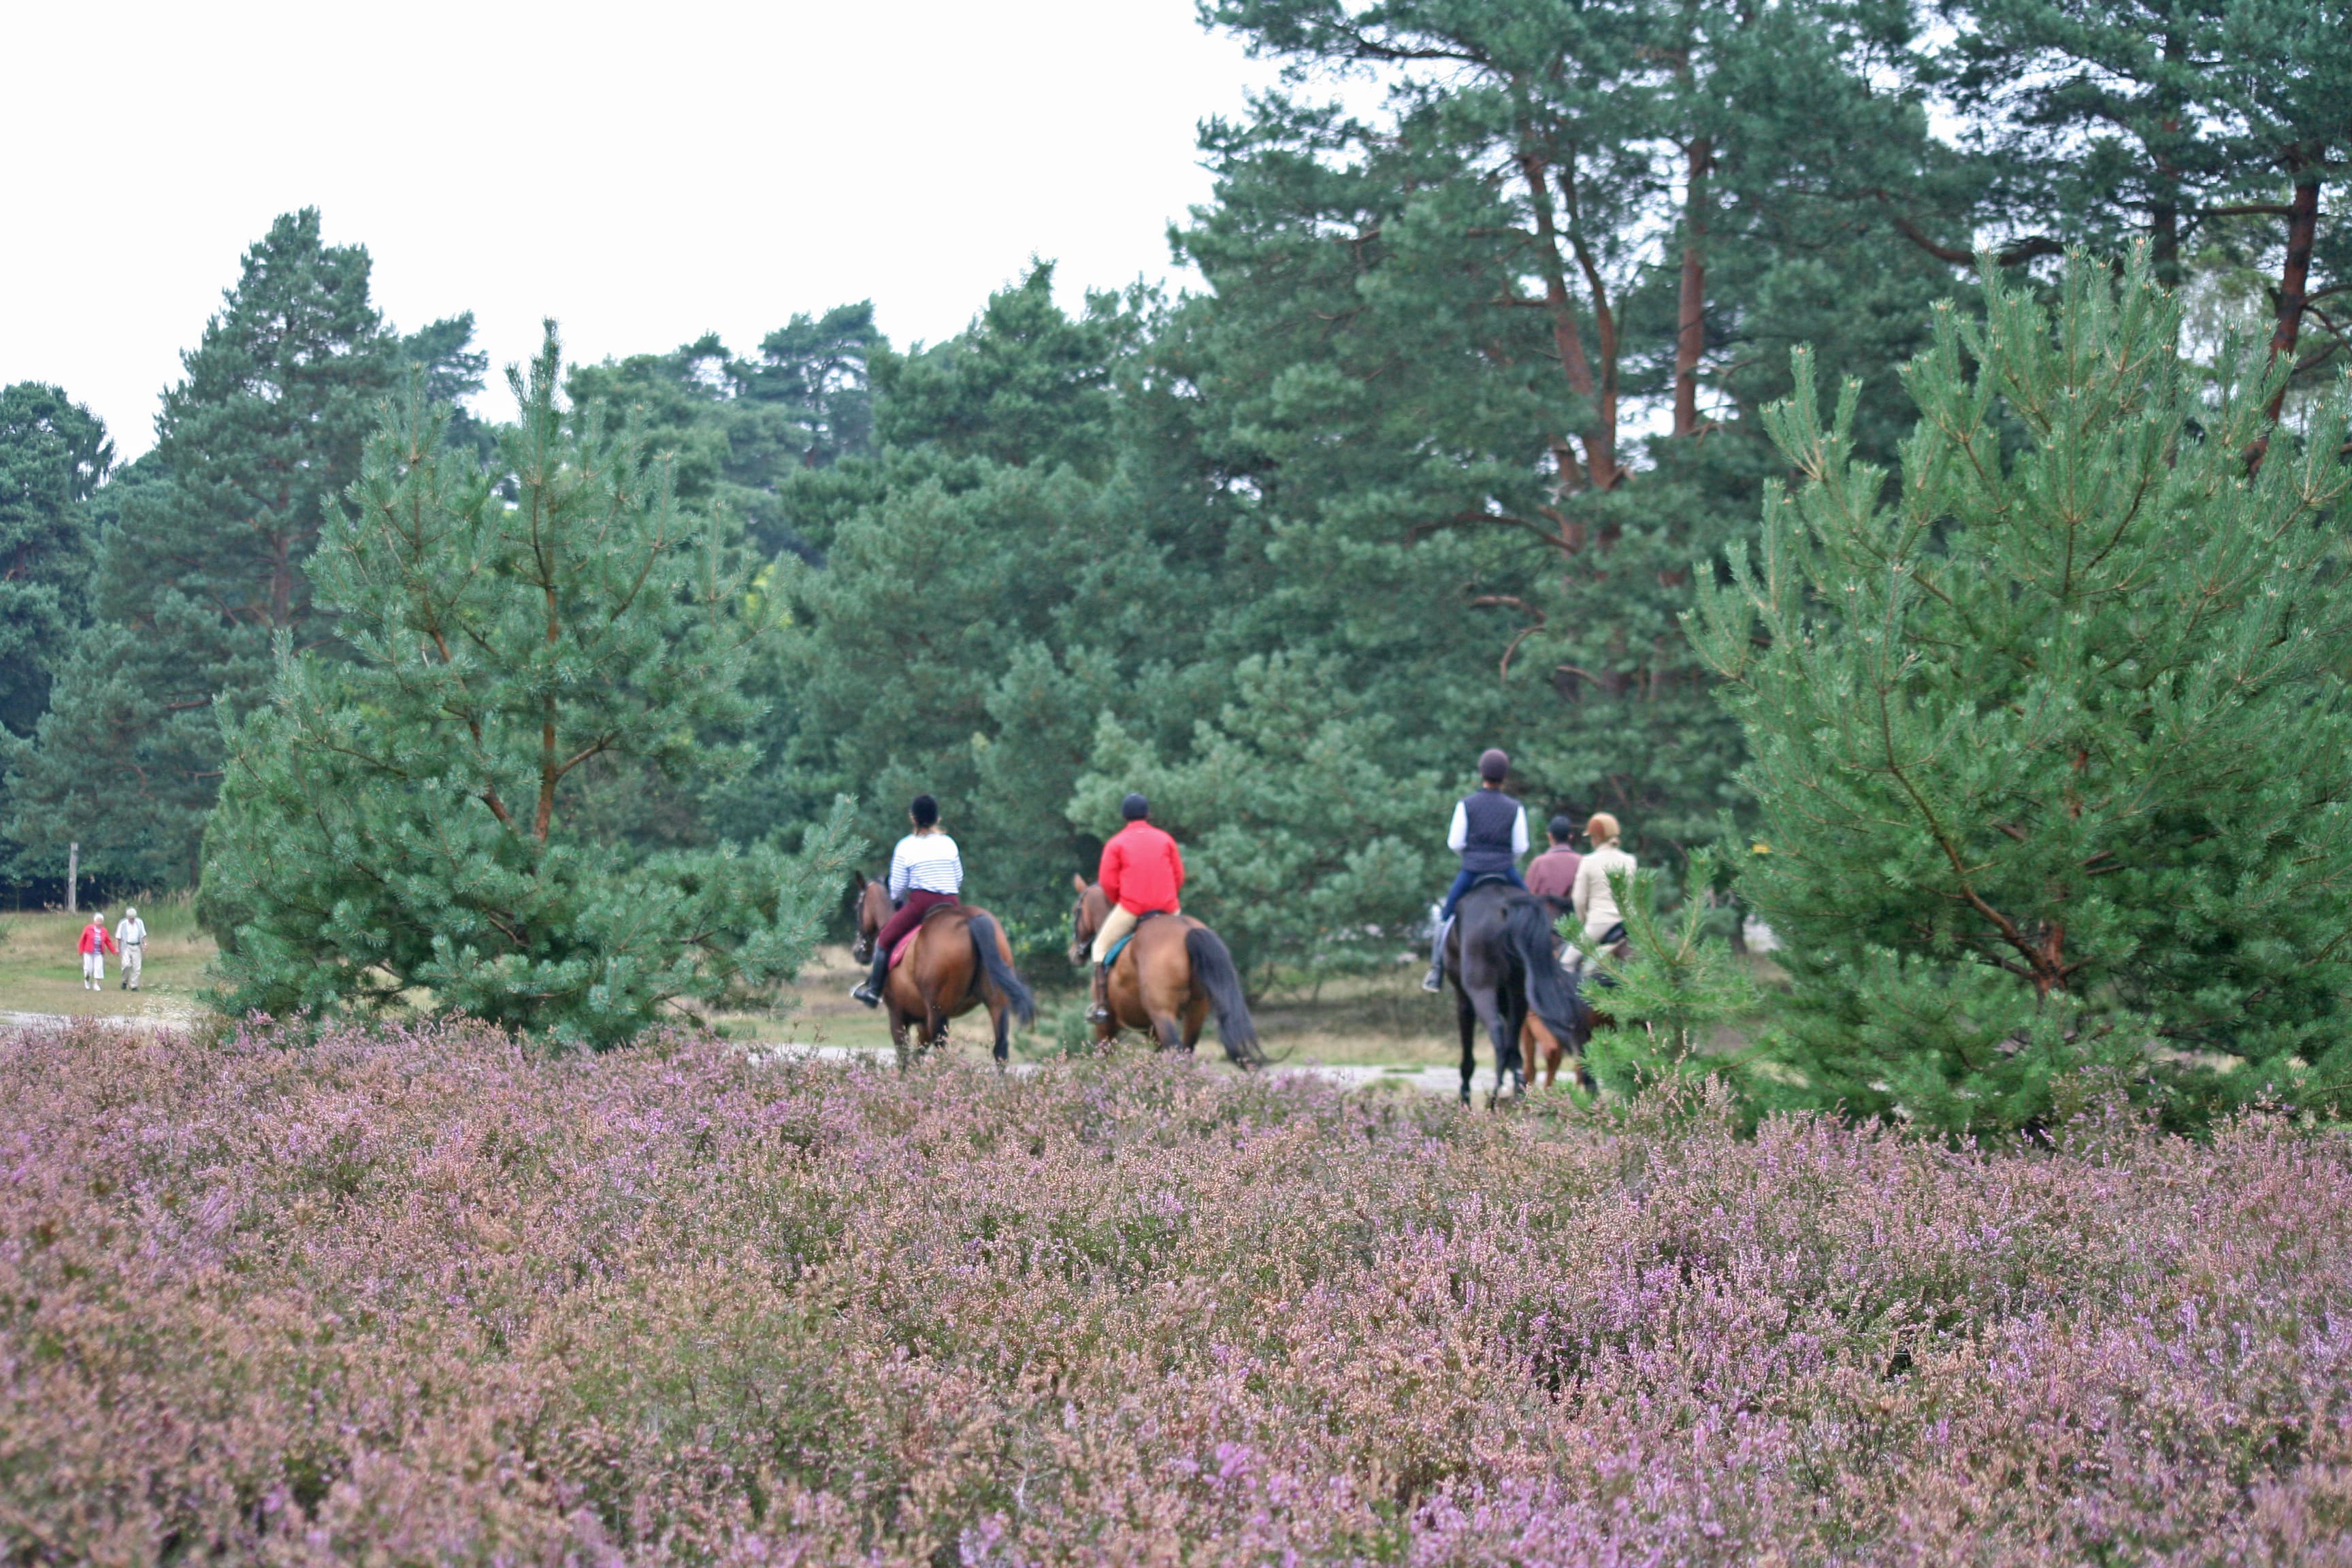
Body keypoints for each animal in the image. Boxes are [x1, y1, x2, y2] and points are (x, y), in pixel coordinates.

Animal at [847, 879, 1030, 1072]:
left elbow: (904, 1058)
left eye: (857, 906)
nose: (858, 951)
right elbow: (917, 1057)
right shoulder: (923, 1022)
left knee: (943, 1053)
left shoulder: (898, 1015)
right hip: (997, 1004)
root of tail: (969, 919)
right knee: (1000, 1050)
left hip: (937, 1012)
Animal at [1072, 879, 1270, 1072]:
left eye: (1076, 912)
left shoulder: (1107, 1026)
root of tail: (1188, 929)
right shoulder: (1151, 1028)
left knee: (1177, 1053)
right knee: (1187, 1051)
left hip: (1163, 1014)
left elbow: (1105, 1061)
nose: (1074, 953)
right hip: (1196, 1011)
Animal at [1430, 879, 1599, 1109]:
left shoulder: (1464, 1000)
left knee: (1497, 1032)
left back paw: (1494, 1097)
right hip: (1518, 993)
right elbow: (1517, 1051)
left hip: (1481, 988)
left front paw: (1465, 1098)